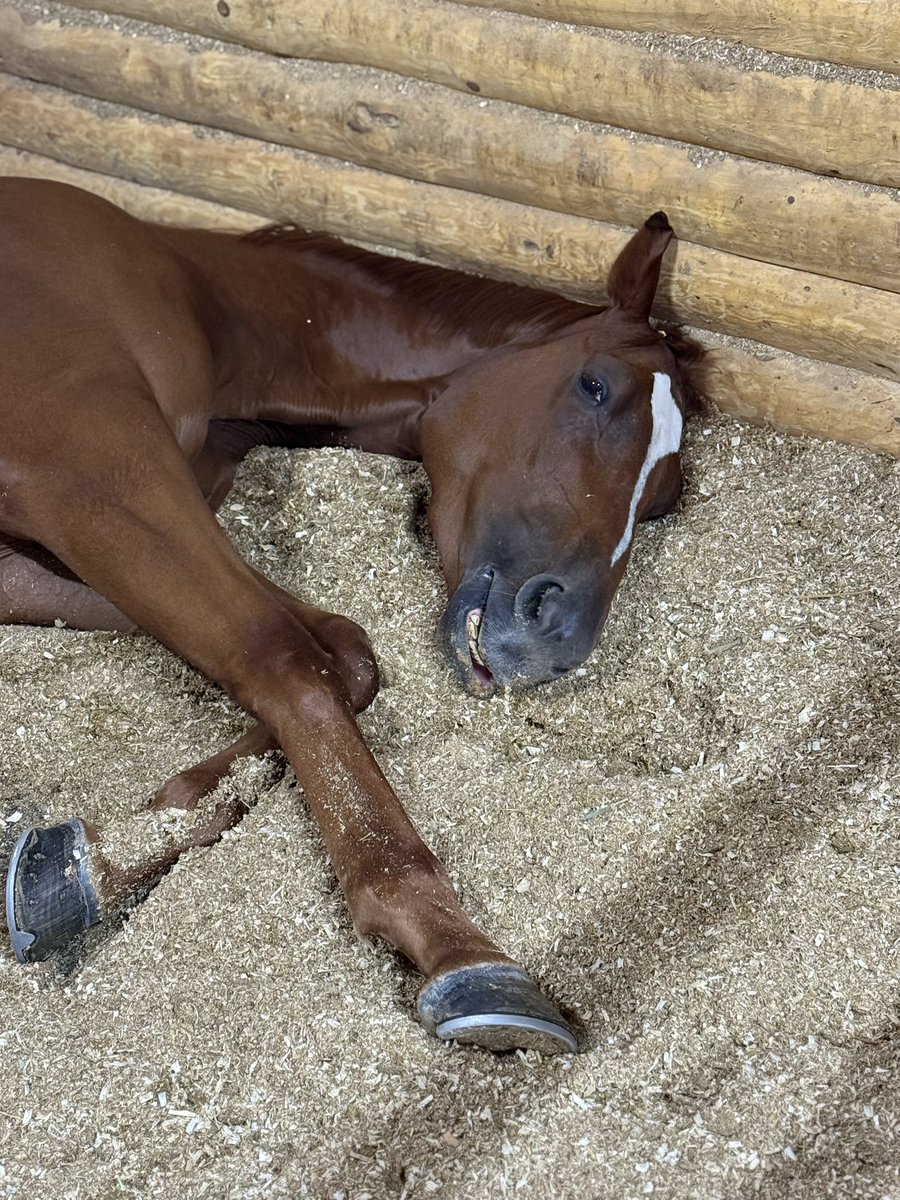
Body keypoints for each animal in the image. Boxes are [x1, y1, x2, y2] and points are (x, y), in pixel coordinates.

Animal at [1, 177, 701, 1054]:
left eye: (664, 502)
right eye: (594, 386)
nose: (554, 639)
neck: (202, 305)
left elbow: (343, 651)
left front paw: (77, 865)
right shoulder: (88, 471)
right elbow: (282, 656)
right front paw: (454, 945)